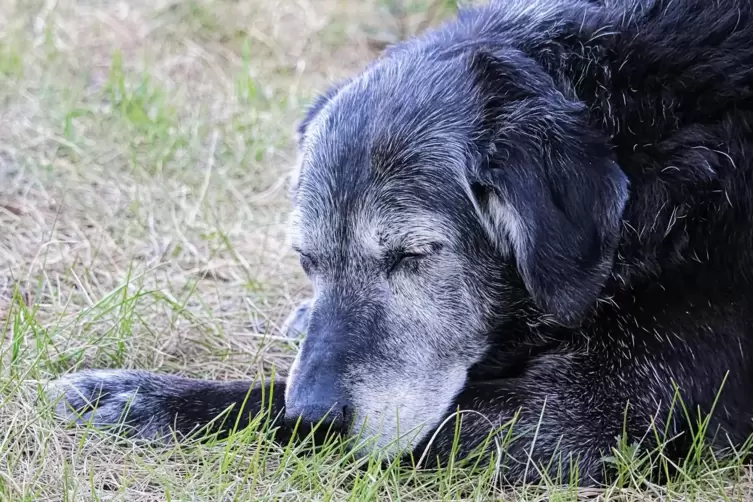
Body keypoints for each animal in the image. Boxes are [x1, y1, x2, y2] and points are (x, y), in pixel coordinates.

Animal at [45, 0, 752, 486]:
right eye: (308, 260)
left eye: (412, 256)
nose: (315, 414)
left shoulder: (577, 420)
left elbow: (272, 408)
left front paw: (146, 399)